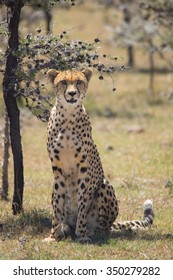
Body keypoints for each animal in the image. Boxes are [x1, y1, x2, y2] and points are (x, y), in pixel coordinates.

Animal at [46, 68, 154, 243]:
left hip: (104, 185)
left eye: (79, 82)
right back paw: (66, 229)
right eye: (63, 82)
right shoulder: (57, 169)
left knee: (104, 228)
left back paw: (91, 231)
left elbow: (83, 205)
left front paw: (81, 235)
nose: (72, 93)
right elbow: (57, 206)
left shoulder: (84, 169)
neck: (68, 116)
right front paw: (53, 235)